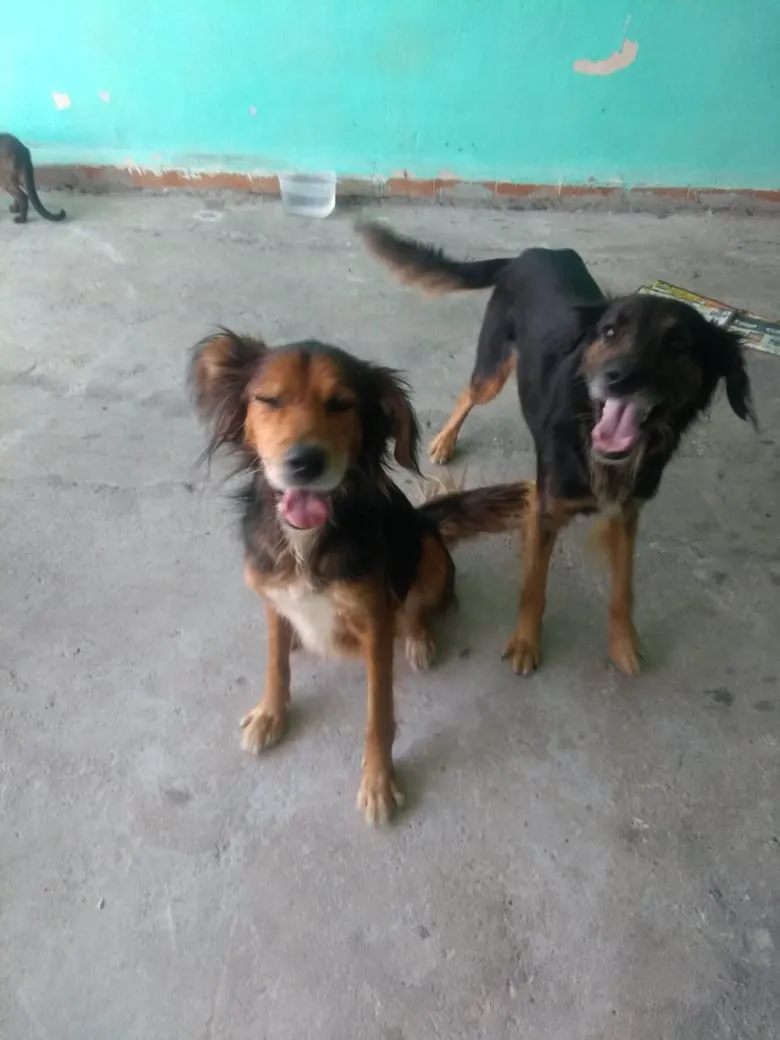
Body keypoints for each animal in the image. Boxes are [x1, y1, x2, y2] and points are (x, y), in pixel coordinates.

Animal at [190, 330, 528, 824]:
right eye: (269, 399)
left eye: (341, 404)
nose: (304, 463)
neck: (306, 541)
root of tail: (426, 519)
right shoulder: (272, 596)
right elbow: (275, 664)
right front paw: (271, 715)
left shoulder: (375, 623)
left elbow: (378, 717)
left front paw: (379, 783)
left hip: (426, 549)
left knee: (422, 605)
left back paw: (420, 640)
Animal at [360, 223, 756, 677]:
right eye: (609, 332)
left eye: (678, 344)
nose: (618, 377)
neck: (590, 430)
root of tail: (531, 253)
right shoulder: (544, 510)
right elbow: (534, 586)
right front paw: (524, 644)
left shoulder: (627, 513)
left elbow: (623, 588)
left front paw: (623, 643)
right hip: (493, 370)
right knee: (470, 392)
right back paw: (444, 440)